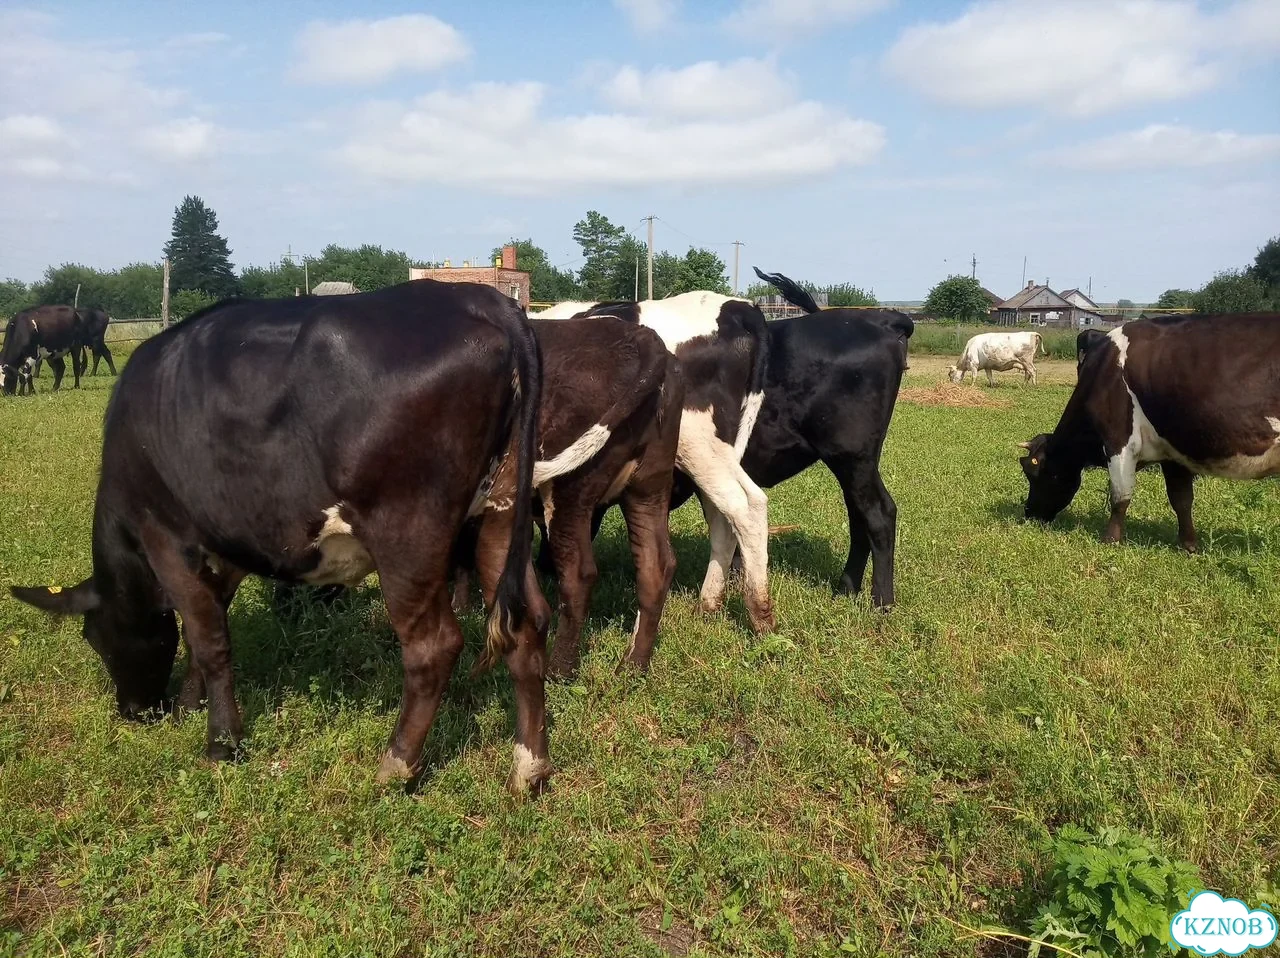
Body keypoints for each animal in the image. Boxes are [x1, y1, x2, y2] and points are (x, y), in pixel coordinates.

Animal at [9, 280, 554, 794]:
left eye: (96, 638)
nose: (134, 711)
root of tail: (477, 299)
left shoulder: (165, 535)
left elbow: (208, 639)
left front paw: (220, 742)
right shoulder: (228, 540)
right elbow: (205, 624)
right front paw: (190, 703)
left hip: (408, 532)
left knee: (433, 647)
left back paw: (395, 764)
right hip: (498, 515)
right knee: (526, 625)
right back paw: (529, 767)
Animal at [452, 316, 684, 679]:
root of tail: (638, 335)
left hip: (569, 490)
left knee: (579, 574)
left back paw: (560, 668)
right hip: (650, 485)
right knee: (655, 565)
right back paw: (633, 664)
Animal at [533, 293, 775, 633]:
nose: (545, 566)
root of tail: (736, 305)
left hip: (697, 443)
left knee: (746, 505)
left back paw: (760, 614)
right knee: (721, 516)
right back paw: (709, 604)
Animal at [1020, 313, 1280, 552]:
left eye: (1033, 473)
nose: (1029, 512)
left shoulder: (1118, 439)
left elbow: (1120, 496)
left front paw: (1110, 540)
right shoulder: (1173, 453)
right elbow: (1181, 499)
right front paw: (1189, 546)